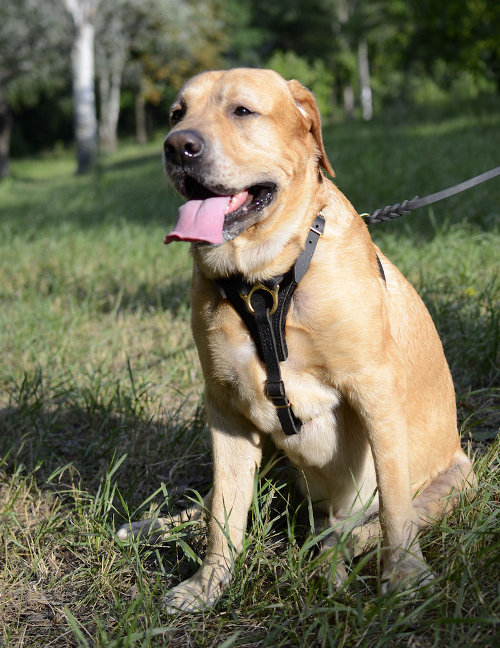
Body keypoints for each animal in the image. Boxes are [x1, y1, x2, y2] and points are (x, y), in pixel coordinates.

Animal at [116, 68, 472, 612]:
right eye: (177, 113)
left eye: (242, 110)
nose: (177, 146)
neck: (264, 280)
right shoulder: (226, 408)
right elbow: (224, 514)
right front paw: (208, 585)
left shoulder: (374, 390)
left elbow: (394, 504)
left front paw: (407, 575)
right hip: (272, 458)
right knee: (217, 503)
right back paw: (153, 526)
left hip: (453, 479)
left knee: (353, 532)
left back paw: (332, 561)